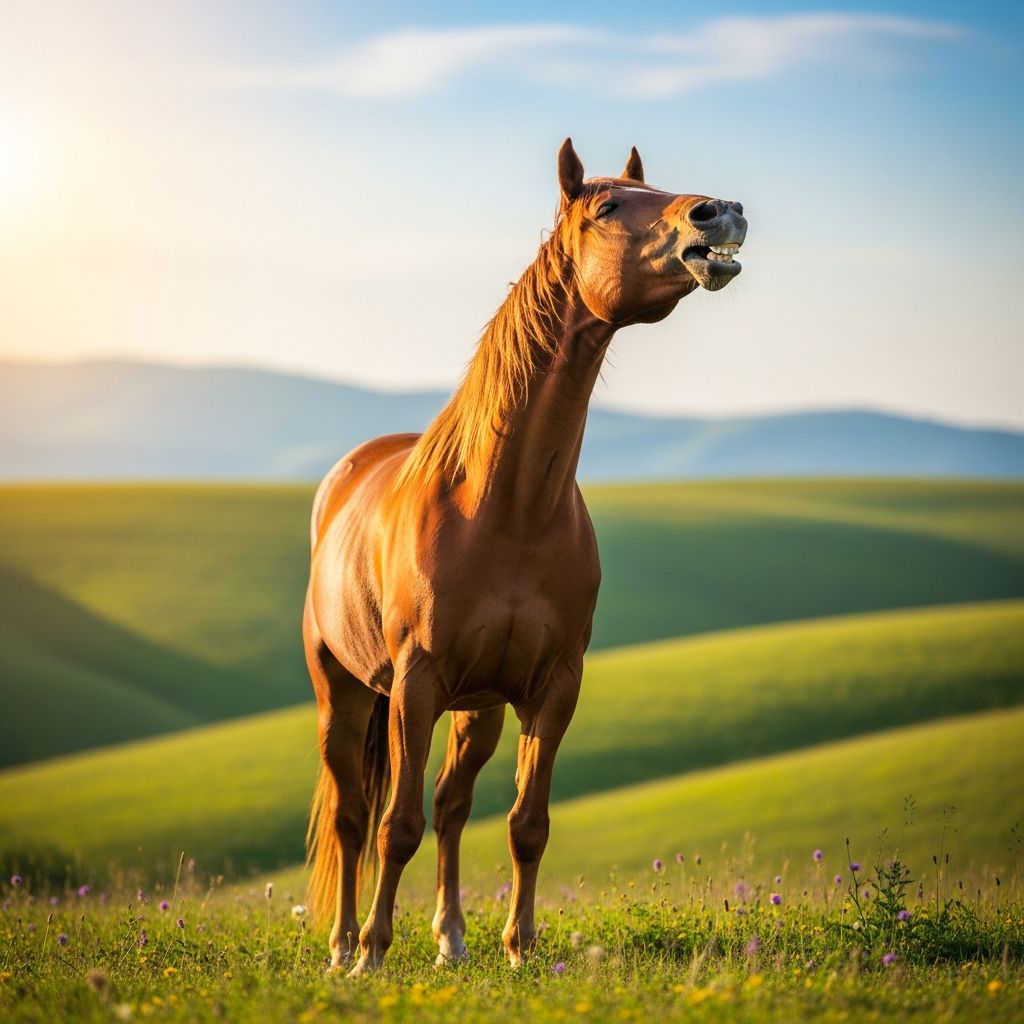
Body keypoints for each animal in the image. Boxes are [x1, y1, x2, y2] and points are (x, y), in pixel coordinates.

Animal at [303, 139, 747, 976]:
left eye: (660, 190)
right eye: (608, 206)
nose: (721, 213)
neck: (504, 508)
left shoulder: (552, 687)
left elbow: (524, 823)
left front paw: (520, 947)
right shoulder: (414, 685)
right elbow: (394, 826)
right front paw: (375, 952)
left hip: (476, 708)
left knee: (451, 806)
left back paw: (450, 941)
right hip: (342, 691)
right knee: (352, 813)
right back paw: (343, 946)